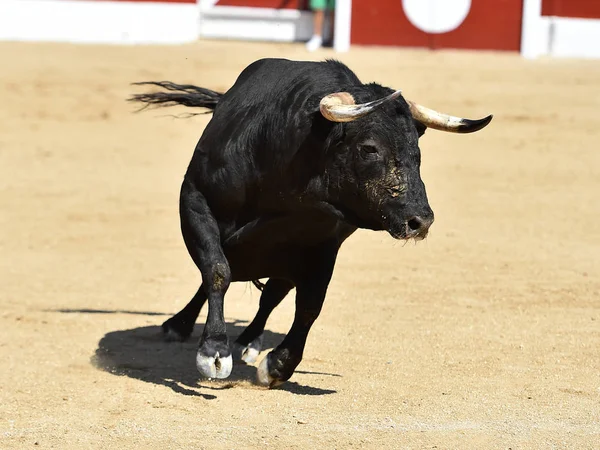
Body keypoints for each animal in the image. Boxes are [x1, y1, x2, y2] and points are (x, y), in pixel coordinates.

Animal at [127, 58, 492, 388]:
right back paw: (179, 326)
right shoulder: (195, 200)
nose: (420, 220)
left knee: (271, 296)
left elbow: (310, 305)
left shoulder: (322, 246)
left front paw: (277, 366)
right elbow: (217, 271)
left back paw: (248, 341)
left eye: (416, 150)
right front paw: (214, 351)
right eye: (369, 148)